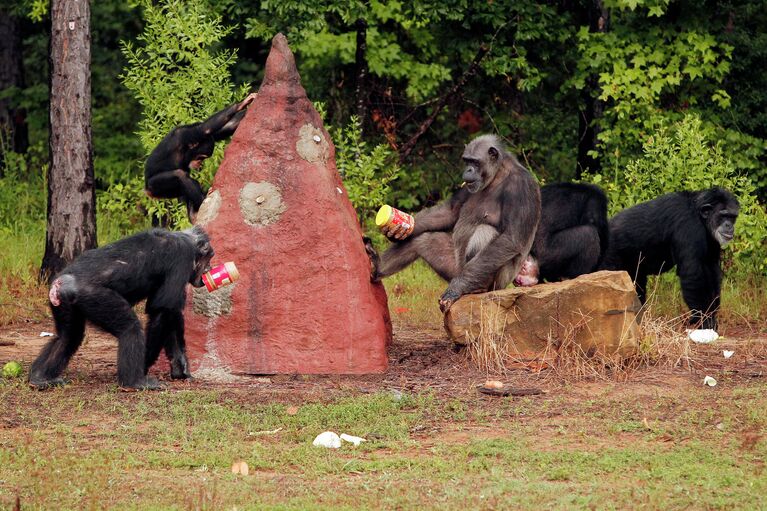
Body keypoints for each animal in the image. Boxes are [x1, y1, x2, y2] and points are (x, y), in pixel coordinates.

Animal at [28, 226, 214, 390]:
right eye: (210, 257)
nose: (210, 268)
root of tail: (60, 284)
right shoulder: (182, 259)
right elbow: (163, 309)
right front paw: (145, 363)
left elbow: (170, 314)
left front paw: (180, 367)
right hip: (96, 298)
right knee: (130, 328)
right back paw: (134, 382)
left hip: (64, 304)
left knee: (67, 337)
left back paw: (40, 377)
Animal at [146, 93, 260, 221]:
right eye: (201, 157)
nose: (200, 163)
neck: (186, 148)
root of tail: (147, 191)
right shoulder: (187, 135)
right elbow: (206, 128)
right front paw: (241, 104)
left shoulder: (210, 136)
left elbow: (226, 128)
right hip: (155, 187)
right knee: (180, 175)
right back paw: (202, 202)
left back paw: (194, 213)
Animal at [368, 134, 544, 312]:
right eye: (467, 161)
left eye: (475, 162)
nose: (468, 170)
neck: (497, 174)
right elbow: (450, 211)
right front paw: (399, 229)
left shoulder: (521, 187)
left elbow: (511, 237)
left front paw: (457, 287)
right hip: (452, 267)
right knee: (422, 240)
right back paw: (377, 266)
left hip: (497, 282)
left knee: (485, 232)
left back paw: (476, 287)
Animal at [604, 186, 740, 330]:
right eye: (723, 215)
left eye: (732, 217)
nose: (729, 226)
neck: (700, 216)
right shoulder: (689, 226)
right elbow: (693, 274)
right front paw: (705, 321)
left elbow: (712, 270)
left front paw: (711, 316)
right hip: (609, 257)